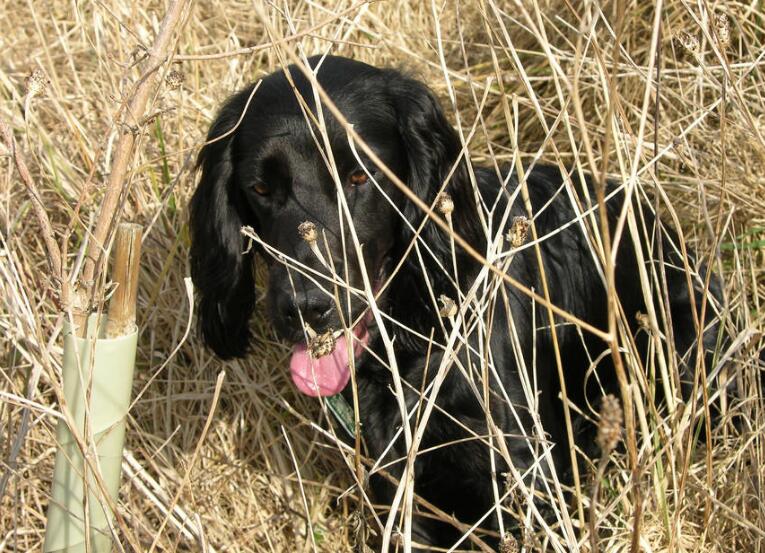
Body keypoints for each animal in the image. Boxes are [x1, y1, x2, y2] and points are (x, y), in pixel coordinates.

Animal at [189, 55, 723, 549]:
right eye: (260, 188)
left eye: (360, 177)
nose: (306, 308)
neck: (413, 330)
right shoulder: (400, 488)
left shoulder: (523, 471)